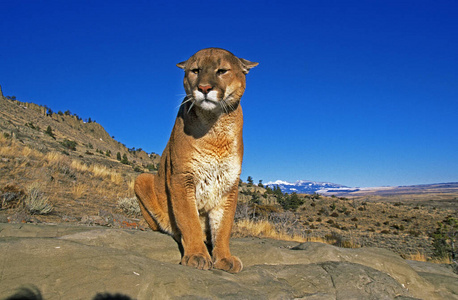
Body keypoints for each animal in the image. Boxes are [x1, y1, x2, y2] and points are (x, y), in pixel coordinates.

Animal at [135, 48, 258, 274]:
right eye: (195, 70)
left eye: (222, 71)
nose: (204, 88)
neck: (216, 126)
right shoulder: (181, 177)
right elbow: (189, 219)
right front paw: (197, 255)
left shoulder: (229, 184)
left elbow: (224, 226)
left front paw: (224, 257)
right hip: (142, 179)